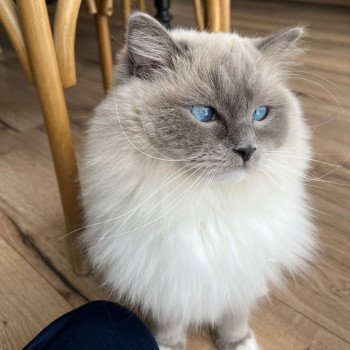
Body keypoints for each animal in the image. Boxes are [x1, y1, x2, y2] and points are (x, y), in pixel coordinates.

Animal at [80, 12, 318, 348]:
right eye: (204, 114)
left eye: (260, 113)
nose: (247, 150)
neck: (211, 203)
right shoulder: (166, 277)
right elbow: (171, 321)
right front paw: (167, 344)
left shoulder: (241, 272)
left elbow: (234, 318)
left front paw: (239, 342)